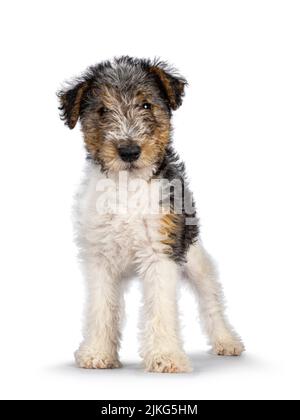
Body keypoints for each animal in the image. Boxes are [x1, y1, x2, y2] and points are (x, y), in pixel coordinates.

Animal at [58, 56, 244, 374]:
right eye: (102, 110)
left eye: (146, 104)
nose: (129, 151)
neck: (128, 186)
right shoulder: (100, 259)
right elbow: (101, 307)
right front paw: (97, 353)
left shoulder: (161, 252)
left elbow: (160, 309)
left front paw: (165, 357)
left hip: (196, 259)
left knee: (211, 302)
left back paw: (227, 341)